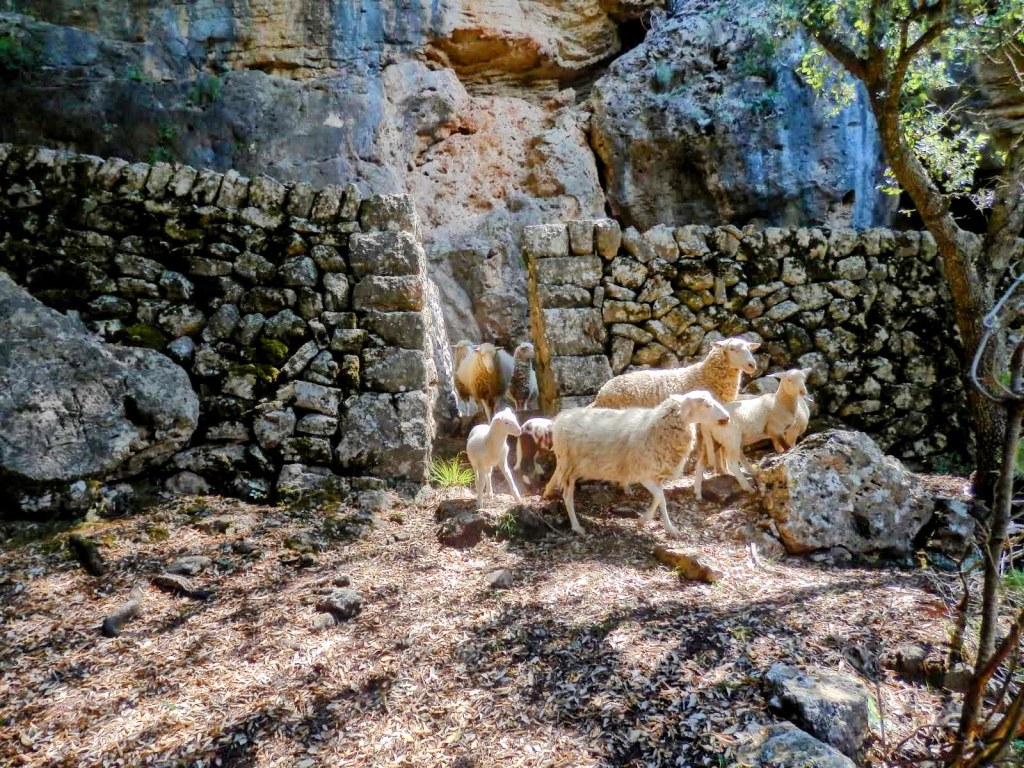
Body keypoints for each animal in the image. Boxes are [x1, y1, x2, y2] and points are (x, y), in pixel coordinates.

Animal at [543, 391, 730, 537]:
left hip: (570, 465)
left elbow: (661, 500)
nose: (727, 418)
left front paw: (669, 528)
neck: (656, 428)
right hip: (569, 465)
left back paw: (547, 492)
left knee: (556, 477)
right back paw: (576, 527)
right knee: (567, 496)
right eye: (706, 405)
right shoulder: (643, 473)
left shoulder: (656, 475)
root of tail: (561, 418)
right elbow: (660, 497)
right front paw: (644, 520)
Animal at [693, 368, 812, 501]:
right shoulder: (776, 430)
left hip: (714, 440)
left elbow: (782, 448)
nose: (803, 391)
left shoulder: (778, 433)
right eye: (789, 380)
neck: (779, 403)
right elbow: (787, 447)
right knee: (732, 464)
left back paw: (697, 494)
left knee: (700, 463)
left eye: (804, 378)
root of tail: (706, 424)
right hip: (731, 438)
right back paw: (748, 488)